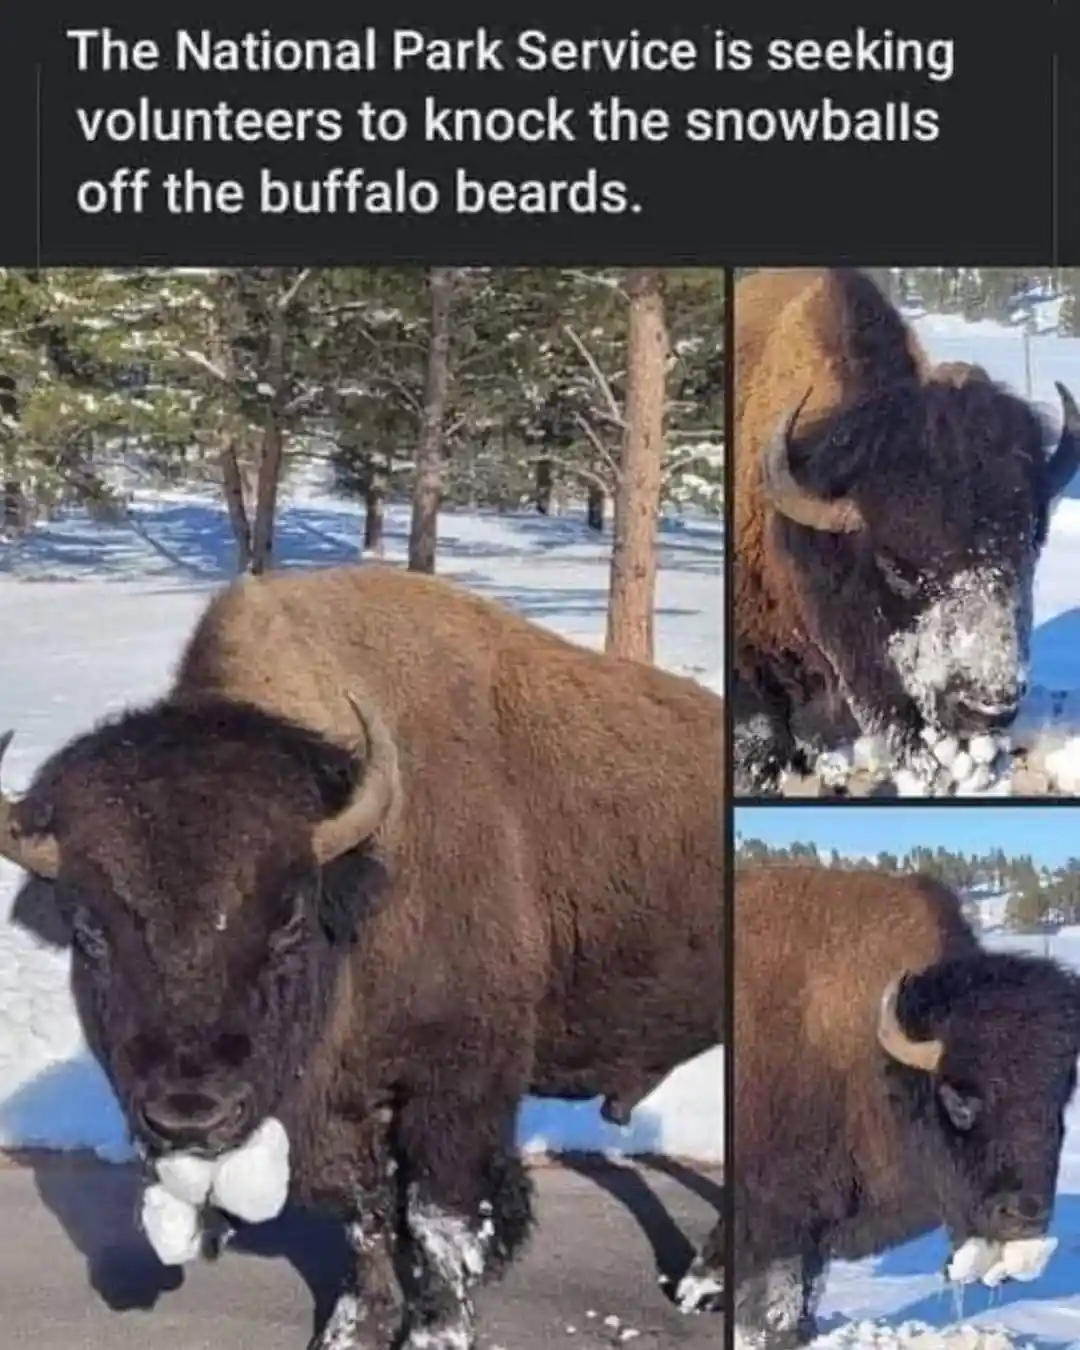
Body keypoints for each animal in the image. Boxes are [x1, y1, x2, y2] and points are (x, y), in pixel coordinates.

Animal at [0, 563, 724, 1350]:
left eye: (289, 917)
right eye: (88, 929)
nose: (189, 1116)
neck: (359, 875)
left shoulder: (456, 1087)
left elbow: (439, 1220)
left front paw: (436, 1333)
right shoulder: (337, 1109)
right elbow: (365, 1213)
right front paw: (355, 1329)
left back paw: (704, 1285)